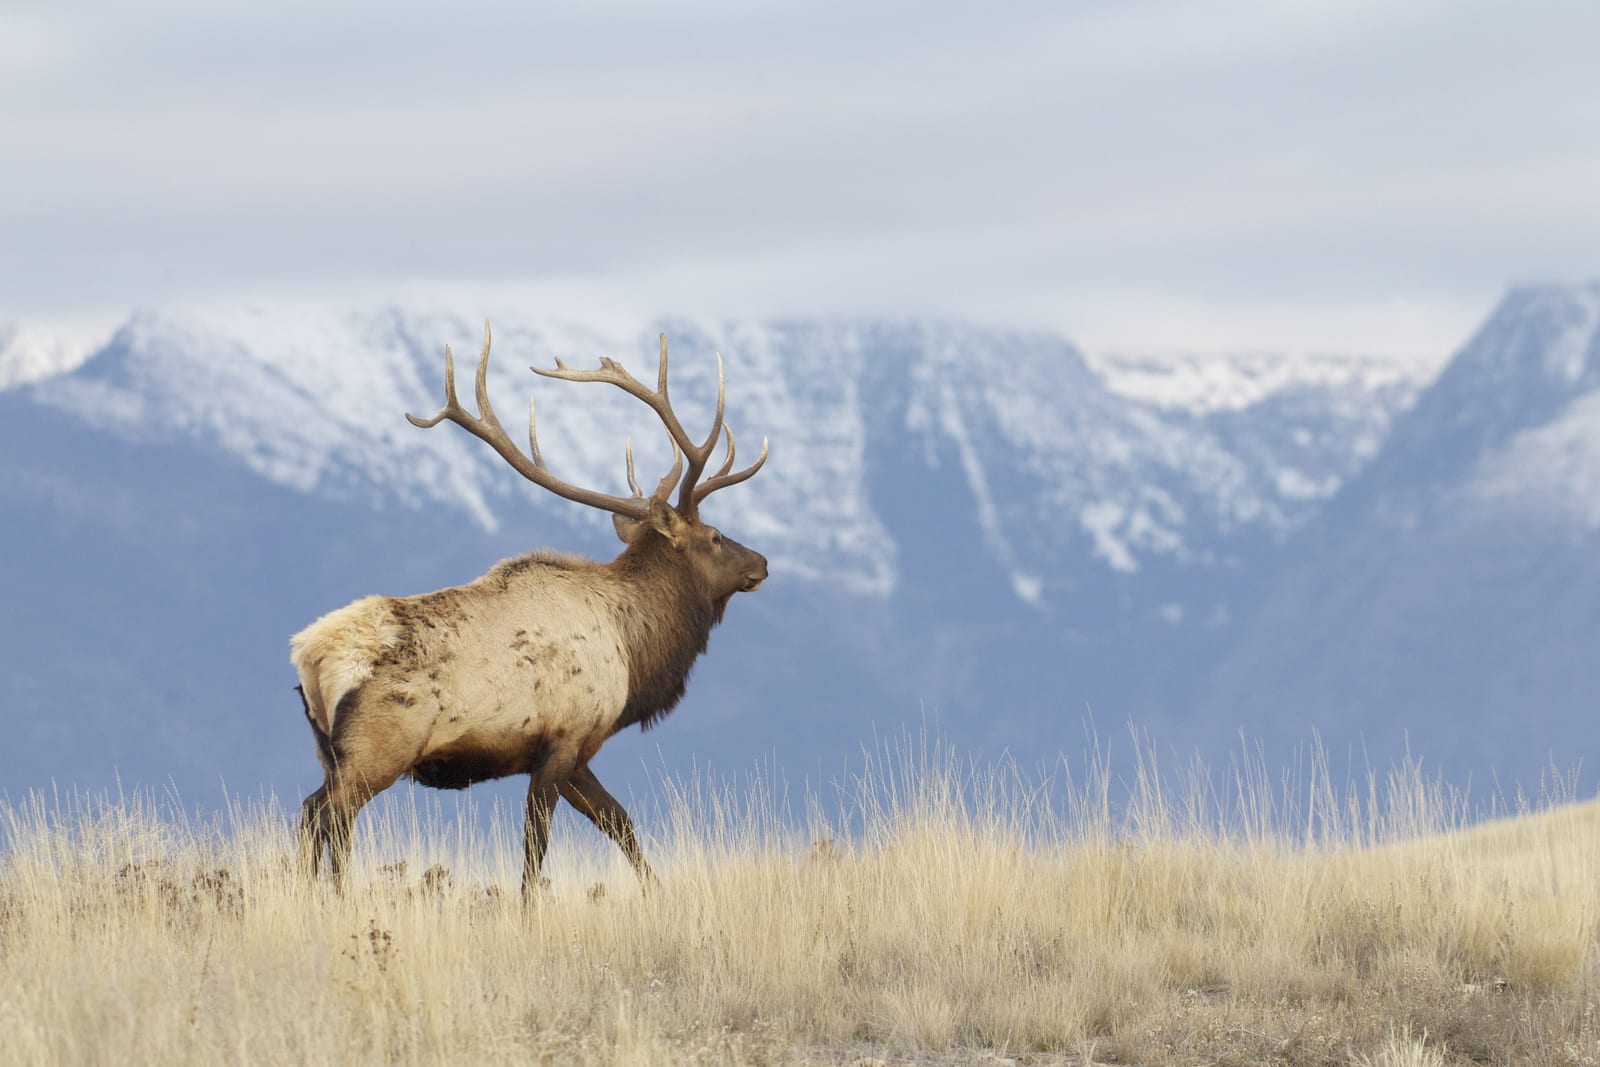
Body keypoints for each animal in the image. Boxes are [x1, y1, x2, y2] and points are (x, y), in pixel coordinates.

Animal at [289, 324, 768, 899]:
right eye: (715, 537)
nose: (762, 562)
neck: (633, 652)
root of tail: (308, 656)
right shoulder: (563, 738)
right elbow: (536, 849)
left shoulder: (577, 752)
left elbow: (620, 823)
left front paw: (658, 893)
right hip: (377, 748)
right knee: (323, 815)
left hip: (329, 751)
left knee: (323, 817)